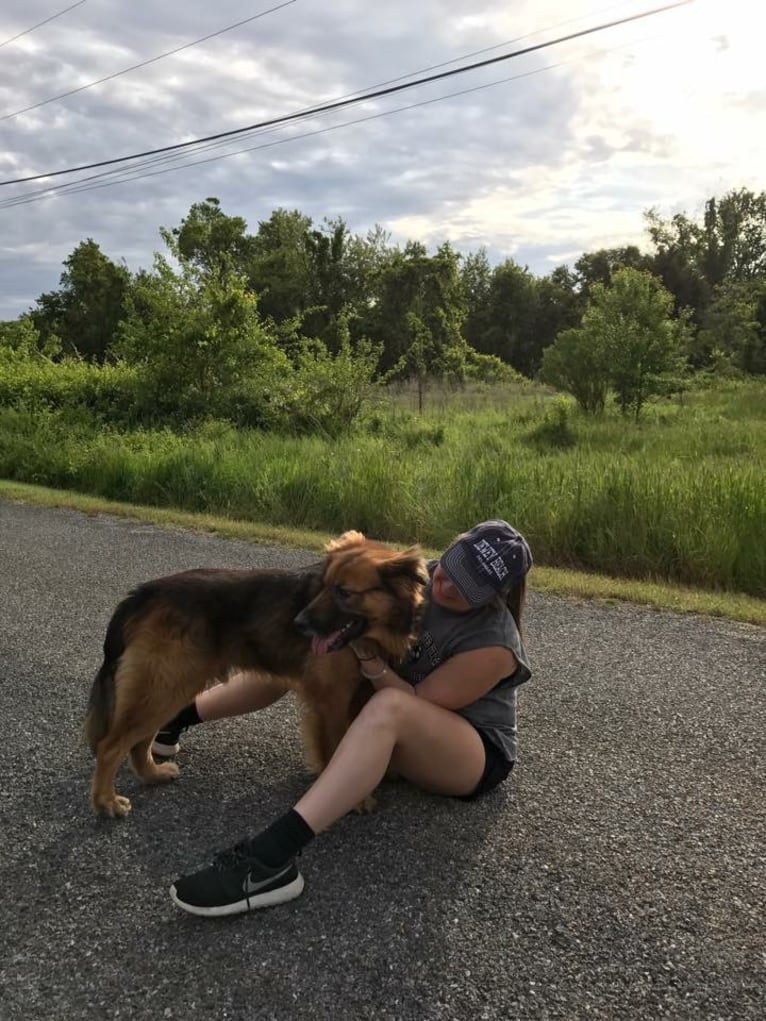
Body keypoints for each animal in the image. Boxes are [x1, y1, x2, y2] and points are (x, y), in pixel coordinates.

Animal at [88, 530, 433, 816]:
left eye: (344, 592)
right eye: (323, 588)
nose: (299, 624)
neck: (373, 634)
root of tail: (145, 591)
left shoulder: (359, 692)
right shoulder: (332, 698)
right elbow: (337, 745)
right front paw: (352, 795)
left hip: (169, 686)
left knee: (138, 741)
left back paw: (152, 774)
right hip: (167, 683)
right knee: (111, 746)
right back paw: (106, 803)